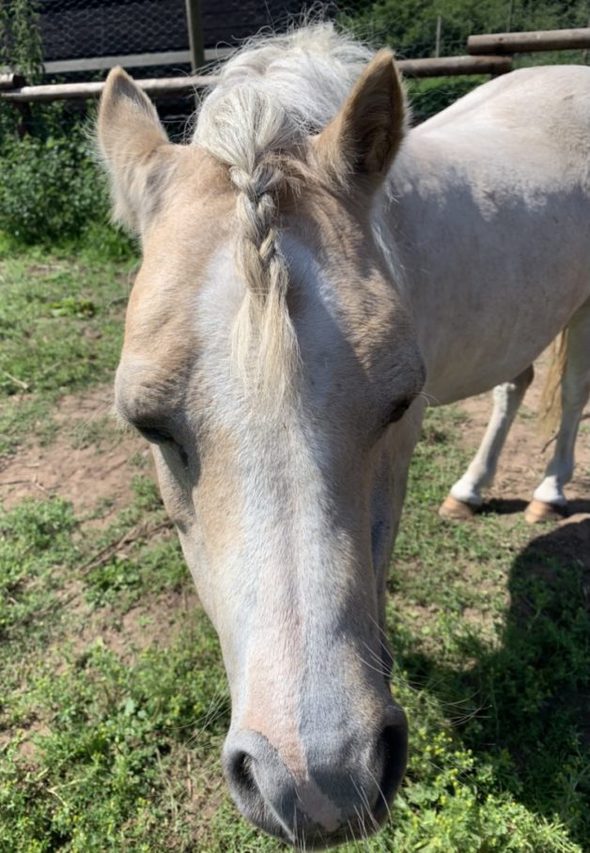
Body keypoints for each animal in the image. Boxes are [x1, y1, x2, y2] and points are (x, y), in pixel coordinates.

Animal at [97, 23, 590, 848]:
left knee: (574, 389)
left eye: (397, 401)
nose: (317, 783)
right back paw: (471, 488)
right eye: (148, 423)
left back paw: (548, 493)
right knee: (516, 386)